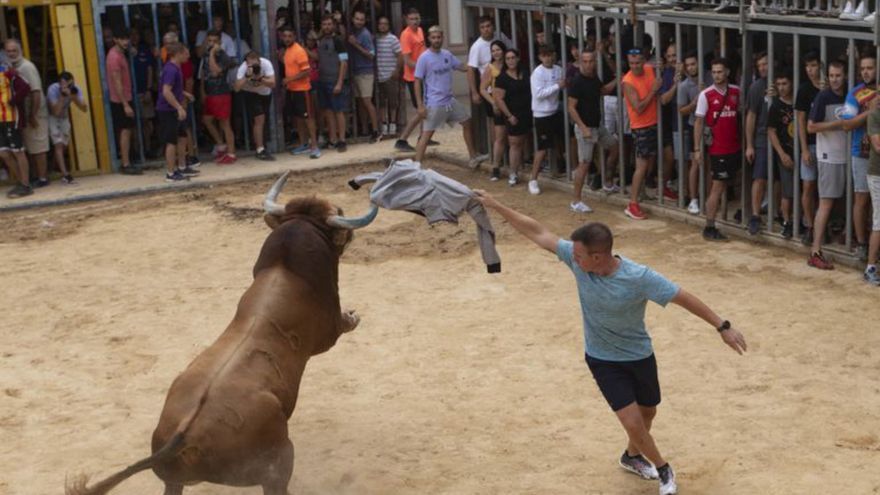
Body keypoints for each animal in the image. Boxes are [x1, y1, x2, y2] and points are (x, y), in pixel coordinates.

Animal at [68, 171, 378, 495]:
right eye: (338, 213)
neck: (286, 270)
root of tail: (185, 437)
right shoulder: (328, 332)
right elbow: (342, 325)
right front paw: (354, 316)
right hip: (278, 466)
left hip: (174, 481)